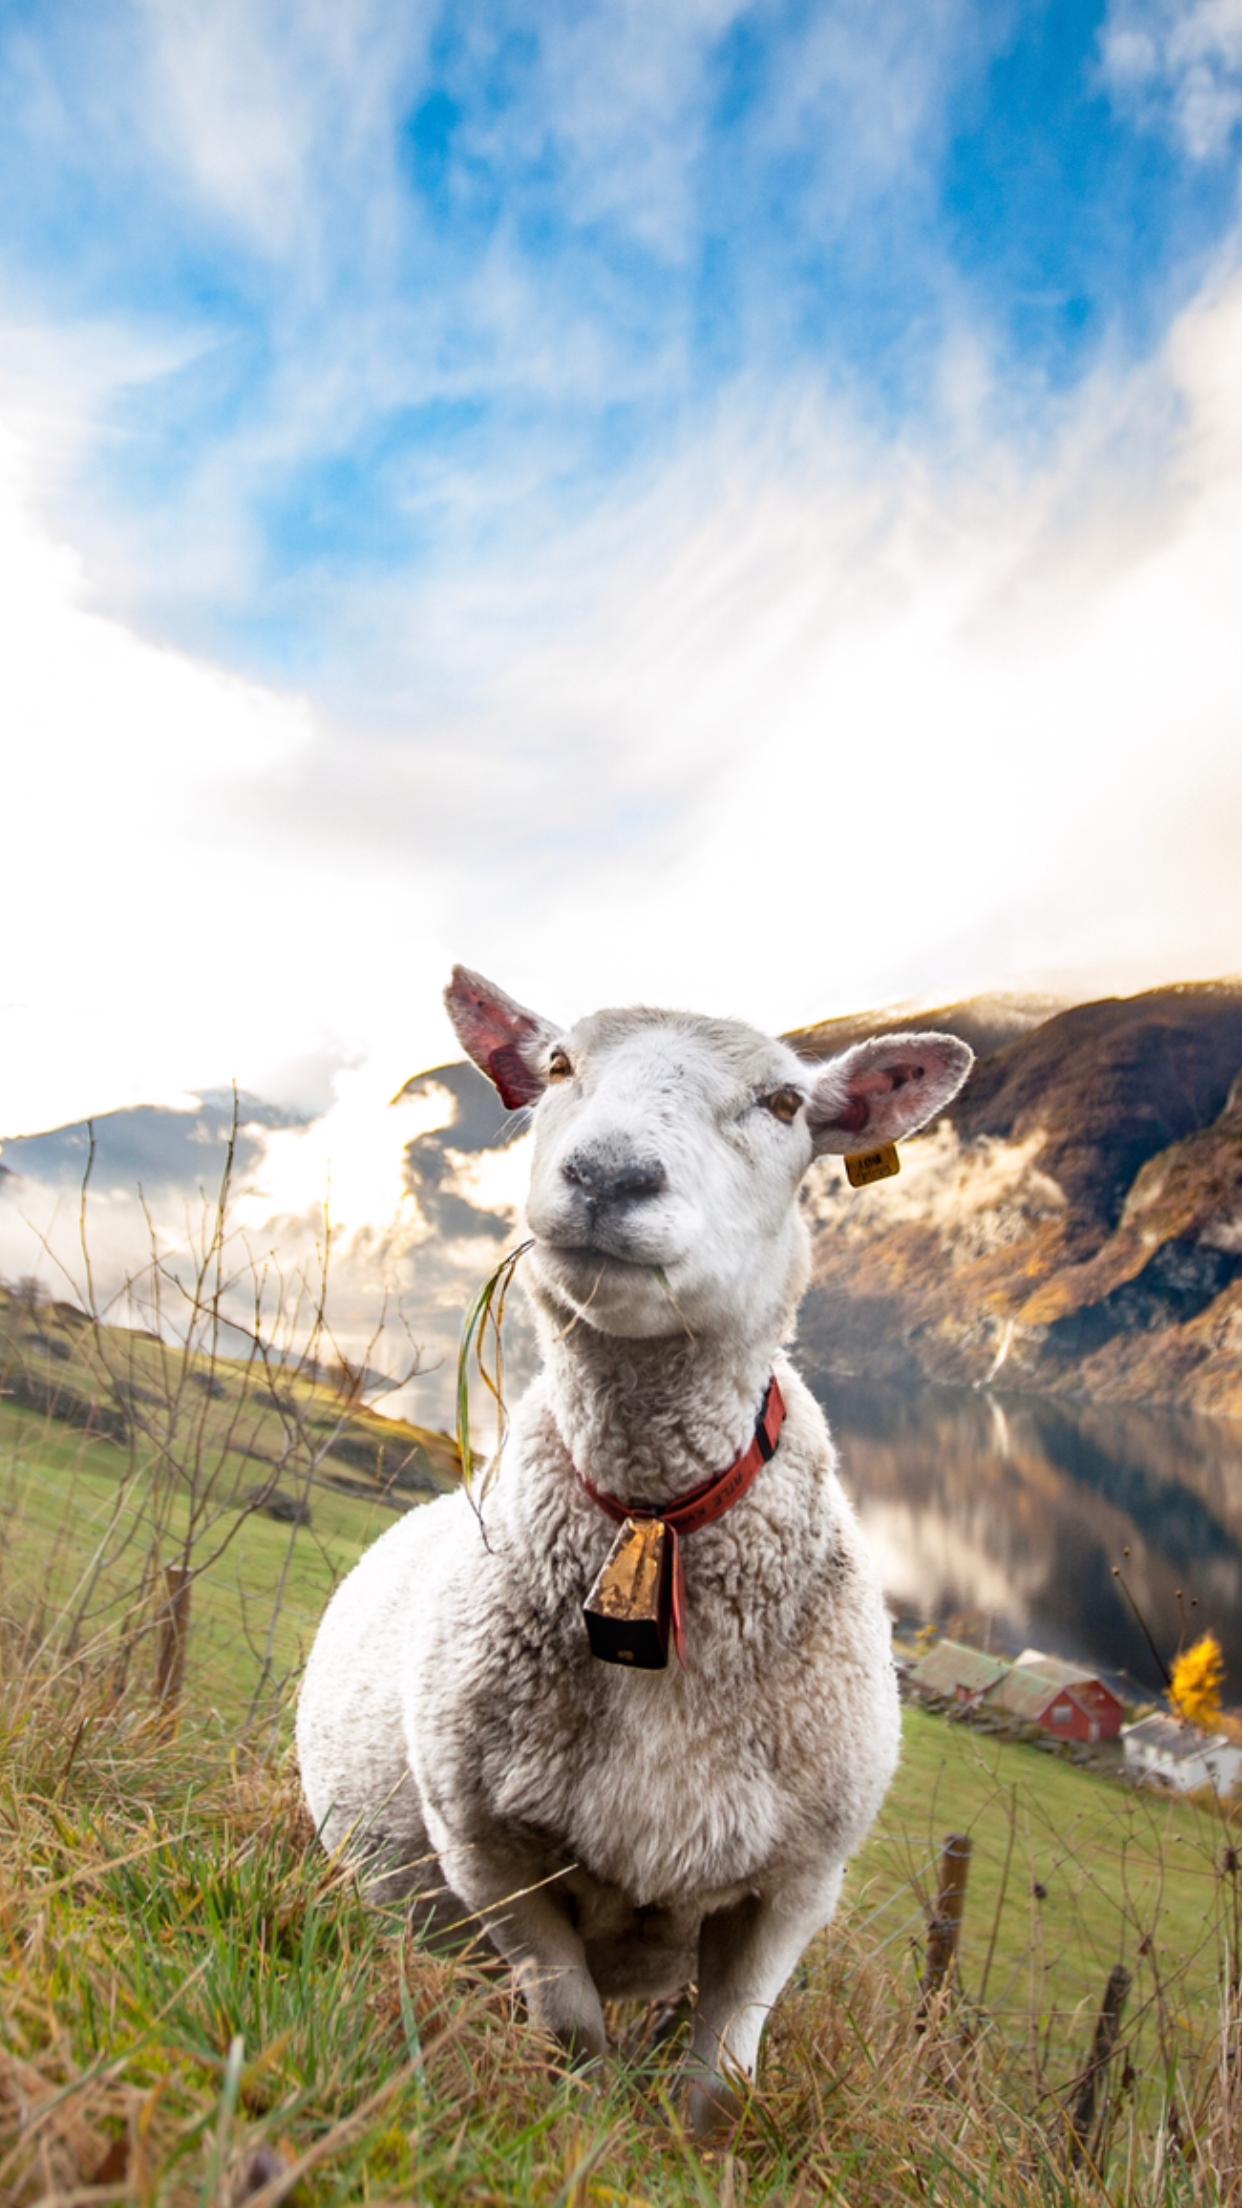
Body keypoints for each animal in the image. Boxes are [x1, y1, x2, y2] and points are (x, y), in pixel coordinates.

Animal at [296, 968, 973, 2137]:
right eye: (560, 1064)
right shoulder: (487, 1851)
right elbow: (569, 2031)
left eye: (786, 1104)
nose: (608, 1175)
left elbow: (722, 2077)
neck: (653, 1519)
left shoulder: (799, 1881)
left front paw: (699, 2145)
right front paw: (577, 2123)